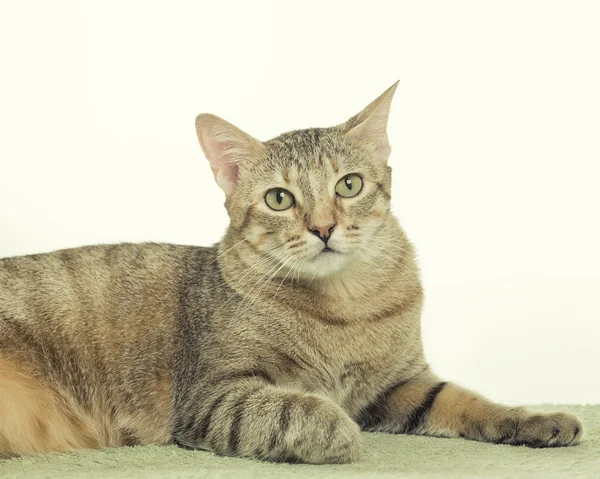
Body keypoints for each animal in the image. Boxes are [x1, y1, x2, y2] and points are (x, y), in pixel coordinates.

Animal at [0, 82, 580, 462]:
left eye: (349, 185)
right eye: (280, 198)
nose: (323, 227)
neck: (346, 307)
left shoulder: (401, 384)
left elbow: (467, 400)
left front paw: (535, 419)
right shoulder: (213, 395)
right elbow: (295, 409)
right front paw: (340, 431)